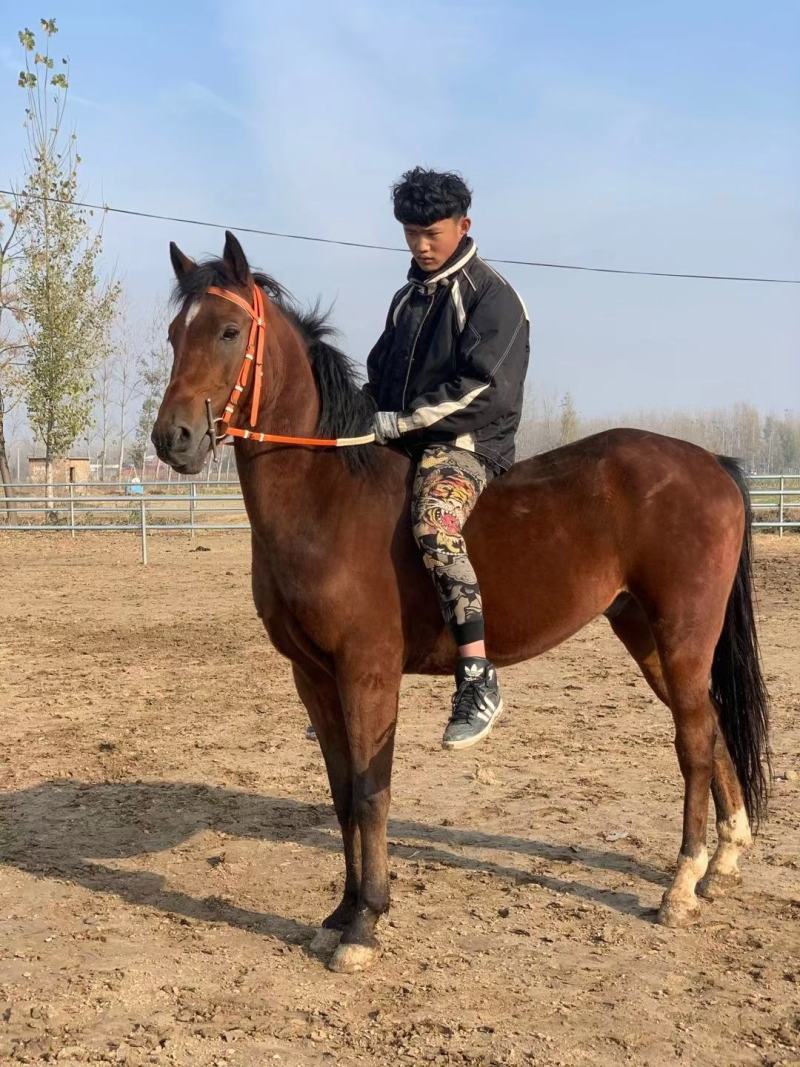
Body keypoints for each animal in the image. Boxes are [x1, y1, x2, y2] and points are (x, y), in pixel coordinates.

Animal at [152, 231, 769, 973]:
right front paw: (338, 914)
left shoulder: (367, 672)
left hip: (682, 635)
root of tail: (711, 463)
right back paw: (723, 860)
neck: (327, 495)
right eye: (174, 334)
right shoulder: (313, 676)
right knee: (709, 724)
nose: (173, 438)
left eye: (228, 330)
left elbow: (371, 792)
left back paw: (681, 885)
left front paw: (366, 923)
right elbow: (341, 794)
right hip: (646, 633)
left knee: (693, 742)